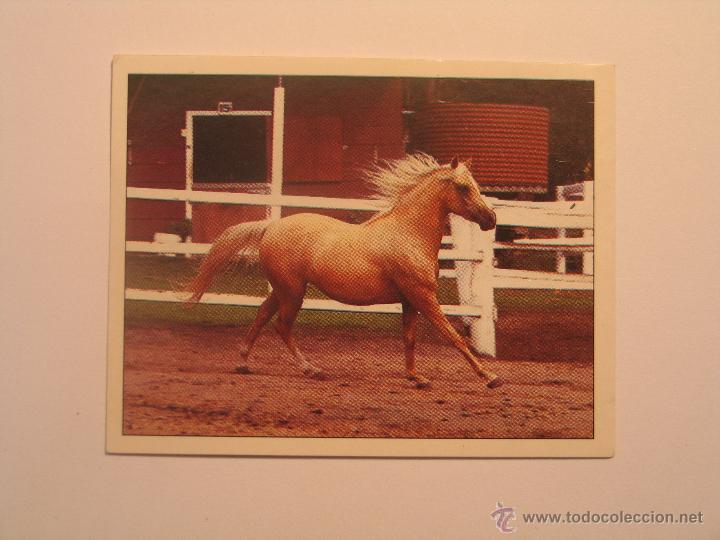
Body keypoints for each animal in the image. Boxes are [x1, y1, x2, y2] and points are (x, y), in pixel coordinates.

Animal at [185, 153, 502, 389]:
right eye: (463, 187)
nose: (491, 219)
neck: (408, 234)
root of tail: (270, 227)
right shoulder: (423, 296)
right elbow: (454, 336)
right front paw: (490, 377)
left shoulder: (409, 300)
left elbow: (410, 338)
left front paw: (416, 377)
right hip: (293, 291)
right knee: (282, 325)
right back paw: (312, 370)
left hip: (283, 289)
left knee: (263, 316)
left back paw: (243, 363)